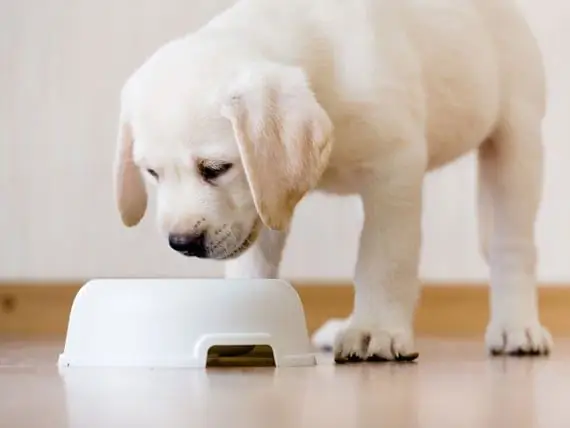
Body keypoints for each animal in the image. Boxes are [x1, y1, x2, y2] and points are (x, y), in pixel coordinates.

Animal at [112, 0, 552, 362]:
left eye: (216, 168)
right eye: (152, 173)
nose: (182, 243)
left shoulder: (396, 170)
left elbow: (383, 258)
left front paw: (376, 330)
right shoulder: (266, 195)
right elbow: (255, 262)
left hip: (516, 142)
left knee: (511, 246)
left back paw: (516, 327)